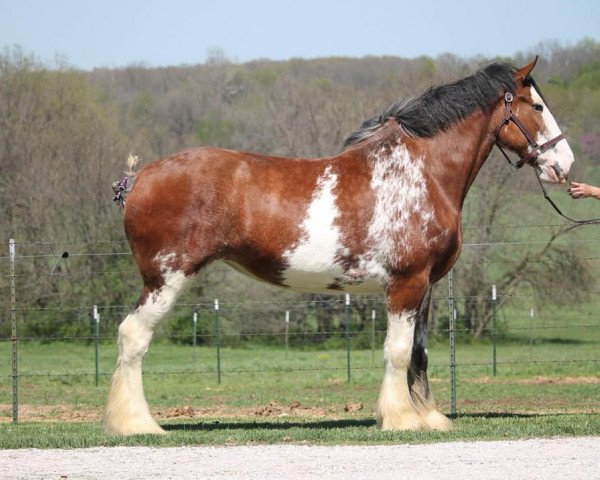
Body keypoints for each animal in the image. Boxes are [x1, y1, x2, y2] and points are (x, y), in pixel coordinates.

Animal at [103, 57, 572, 436]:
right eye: (537, 107)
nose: (563, 165)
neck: (420, 170)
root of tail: (139, 178)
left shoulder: (426, 286)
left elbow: (418, 353)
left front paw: (429, 417)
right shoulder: (406, 283)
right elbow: (397, 352)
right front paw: (401, 419)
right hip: (166, 278)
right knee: (133, 337)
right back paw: (138, 424)